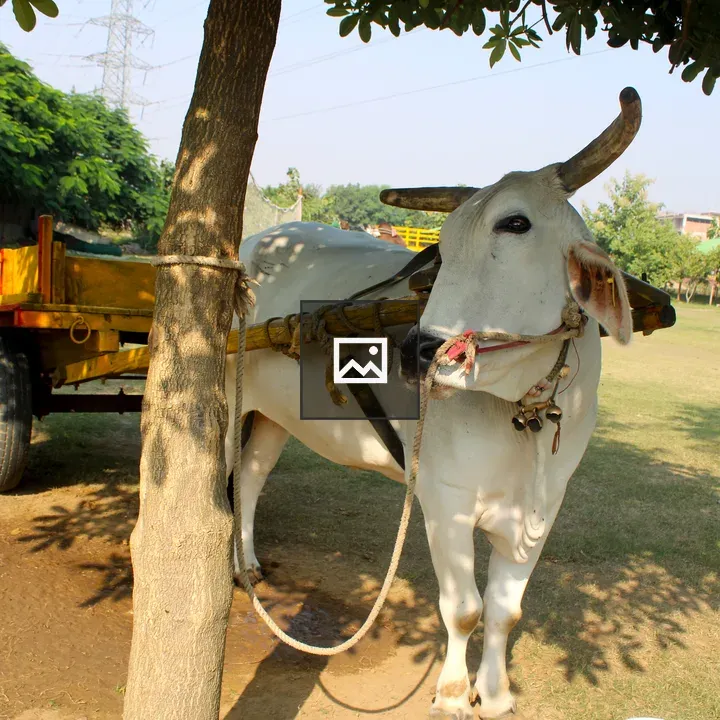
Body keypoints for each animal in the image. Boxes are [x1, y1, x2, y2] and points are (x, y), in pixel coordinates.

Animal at [225, 88, 640, 719]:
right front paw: (449, 694)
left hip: (273, 417)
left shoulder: (544, 509)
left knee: (249, 477)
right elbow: (464, 610)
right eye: (441, 247)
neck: (525, 417)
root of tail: (254, 246)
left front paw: (495, 694)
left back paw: (248, 563)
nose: (418, 352)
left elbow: (505, 612)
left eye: (515, 223)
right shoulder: (444, 501)